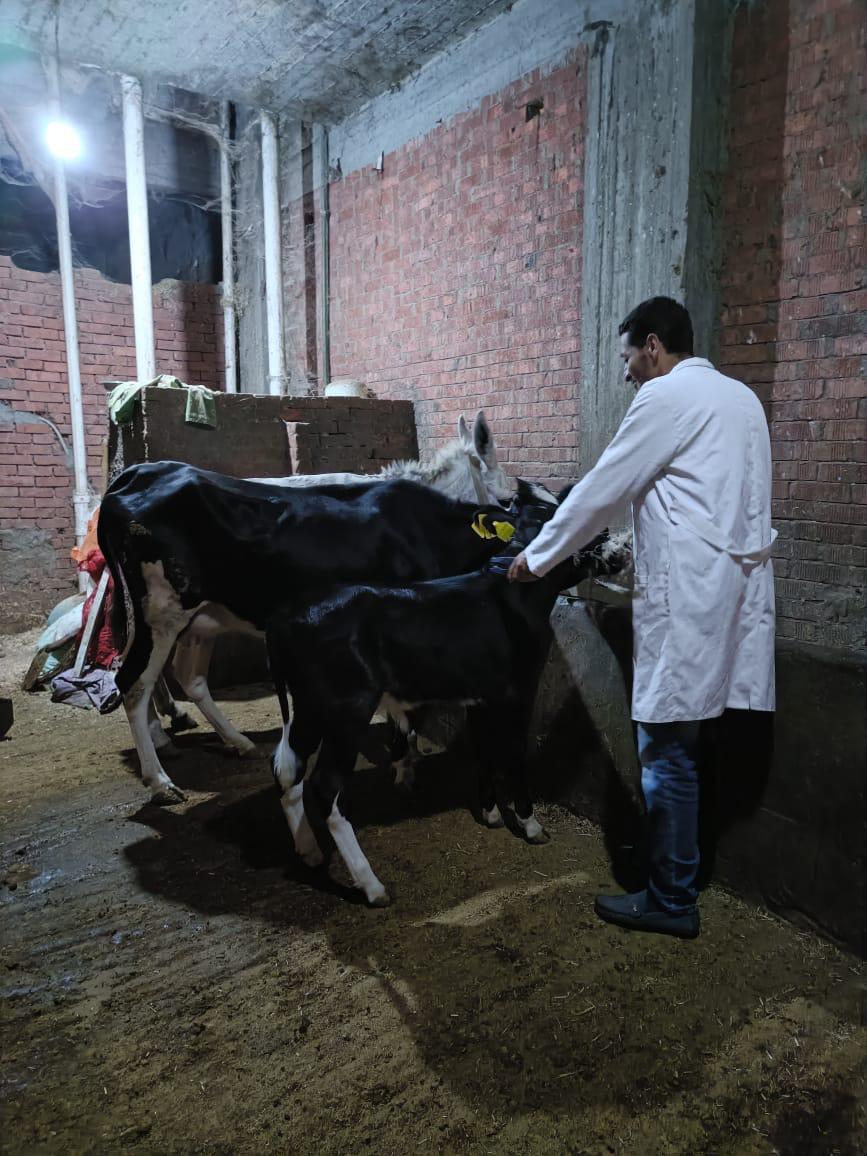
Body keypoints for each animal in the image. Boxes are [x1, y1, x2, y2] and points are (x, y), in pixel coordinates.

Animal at [98, 462, 522, 806]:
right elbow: (404, 704)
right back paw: (160, 781)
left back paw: (234, 742)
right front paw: (404, 765)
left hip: (198, 615)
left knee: (187, 676)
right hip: (162, 613)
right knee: (133, 683)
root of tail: (140, 471)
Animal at [263, 480, 632, 906]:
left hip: (308, 708)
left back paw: (308, 851)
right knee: (324, 786)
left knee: (286, 768)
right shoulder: (519, 690)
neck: (514, 595)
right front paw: (530, 823)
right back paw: (372, 886)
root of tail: (285, 615)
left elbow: (485, 749)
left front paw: (491, 813)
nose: (616, 545)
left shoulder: (482, 695)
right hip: (346, 712)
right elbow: (513, 753)